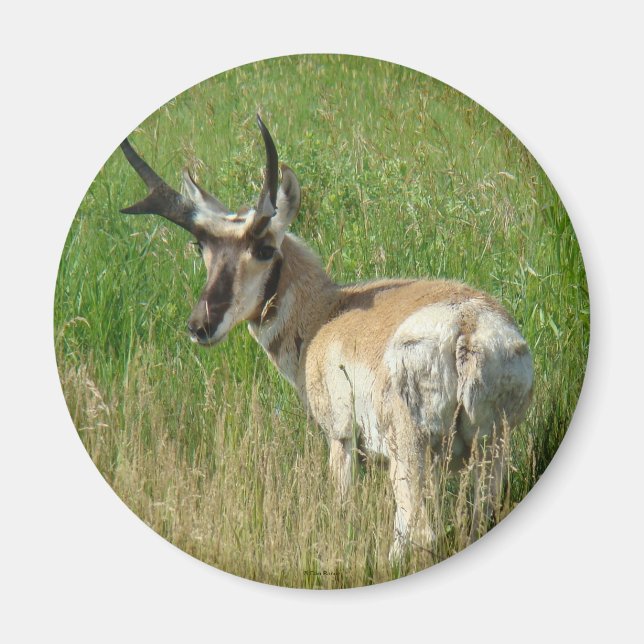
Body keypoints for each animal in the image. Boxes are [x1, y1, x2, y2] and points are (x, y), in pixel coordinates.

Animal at [119, 115, 534, 561]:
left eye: (264, 248)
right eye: (200, 246)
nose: (200, 326)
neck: (326, 312)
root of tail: (466, 327)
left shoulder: (341, 439)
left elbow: (342, 507)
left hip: (413, 452)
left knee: (416, 530)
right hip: (492, 450)